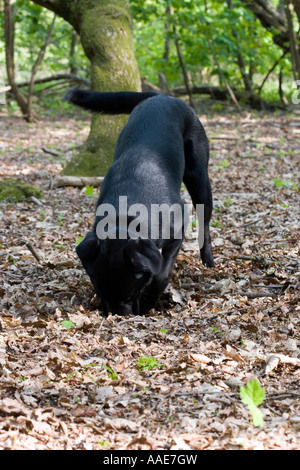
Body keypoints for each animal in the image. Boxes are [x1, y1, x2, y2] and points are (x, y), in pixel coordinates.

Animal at [65, 89, 214, 316]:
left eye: (128, 295)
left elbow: (162, 272)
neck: (126, 213)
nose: (117, 315)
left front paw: (148, 301)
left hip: (199, 177)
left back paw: (208, 260)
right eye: (102, 294)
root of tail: (162, 96)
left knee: (204, 222)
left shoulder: (179, 225)